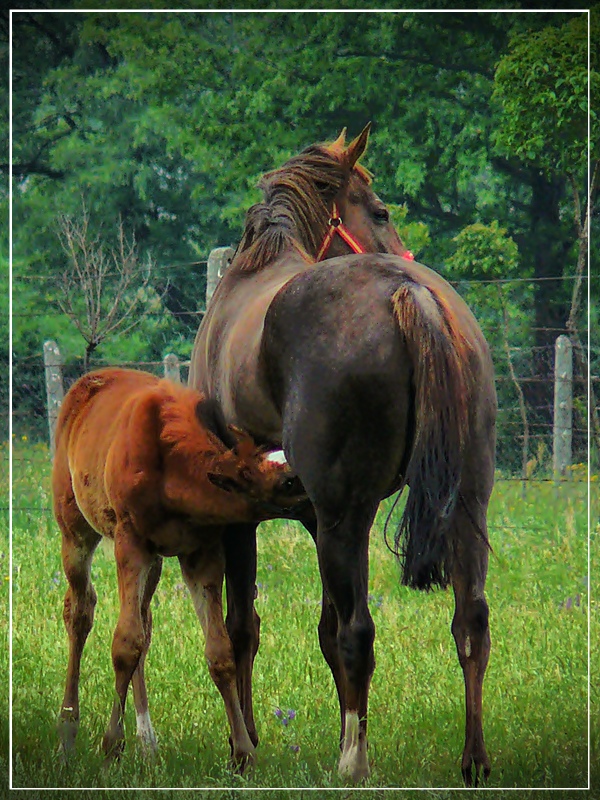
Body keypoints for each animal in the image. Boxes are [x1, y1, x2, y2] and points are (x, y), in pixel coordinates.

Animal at [189, 128, 496, 784]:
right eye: (379, 211)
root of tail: (410, 291)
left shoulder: (255, 519)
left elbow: (245, 628)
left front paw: (245, 746)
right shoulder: (312, 518)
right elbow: (323, 633)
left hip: (344, 519)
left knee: (361, 633)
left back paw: (354, 762)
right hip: (463, 503)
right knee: (471, 623)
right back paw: (473, 759)